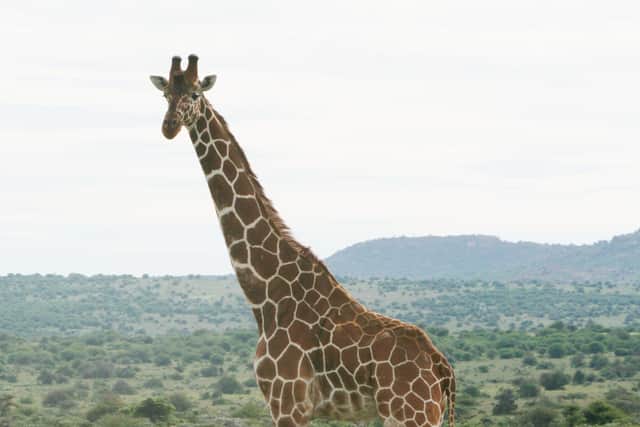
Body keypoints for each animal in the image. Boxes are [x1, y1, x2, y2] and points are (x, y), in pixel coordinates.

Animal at [150, 55, 456, 427]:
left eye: (195, 94)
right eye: (166, 94)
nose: (168, 126)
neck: (266, 293)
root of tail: (442, 369)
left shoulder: (287, 402)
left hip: (409, 414)